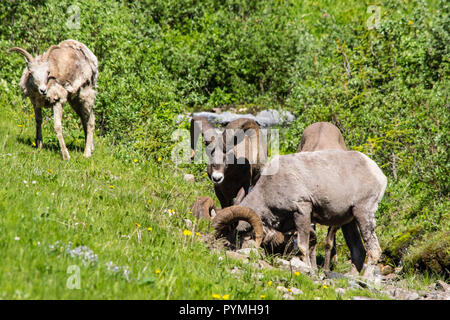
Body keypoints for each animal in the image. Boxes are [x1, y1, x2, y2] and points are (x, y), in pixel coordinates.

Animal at [193, 150, 386, 278]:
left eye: (225, 233)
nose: (209, 245)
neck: (271, 187)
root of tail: (379, 175)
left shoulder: (302, 210)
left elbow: (302, 246)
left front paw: (308, 269)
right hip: (349, 221)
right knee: (358, 251)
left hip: (363, 213)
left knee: (374, 250)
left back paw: (364, 280)